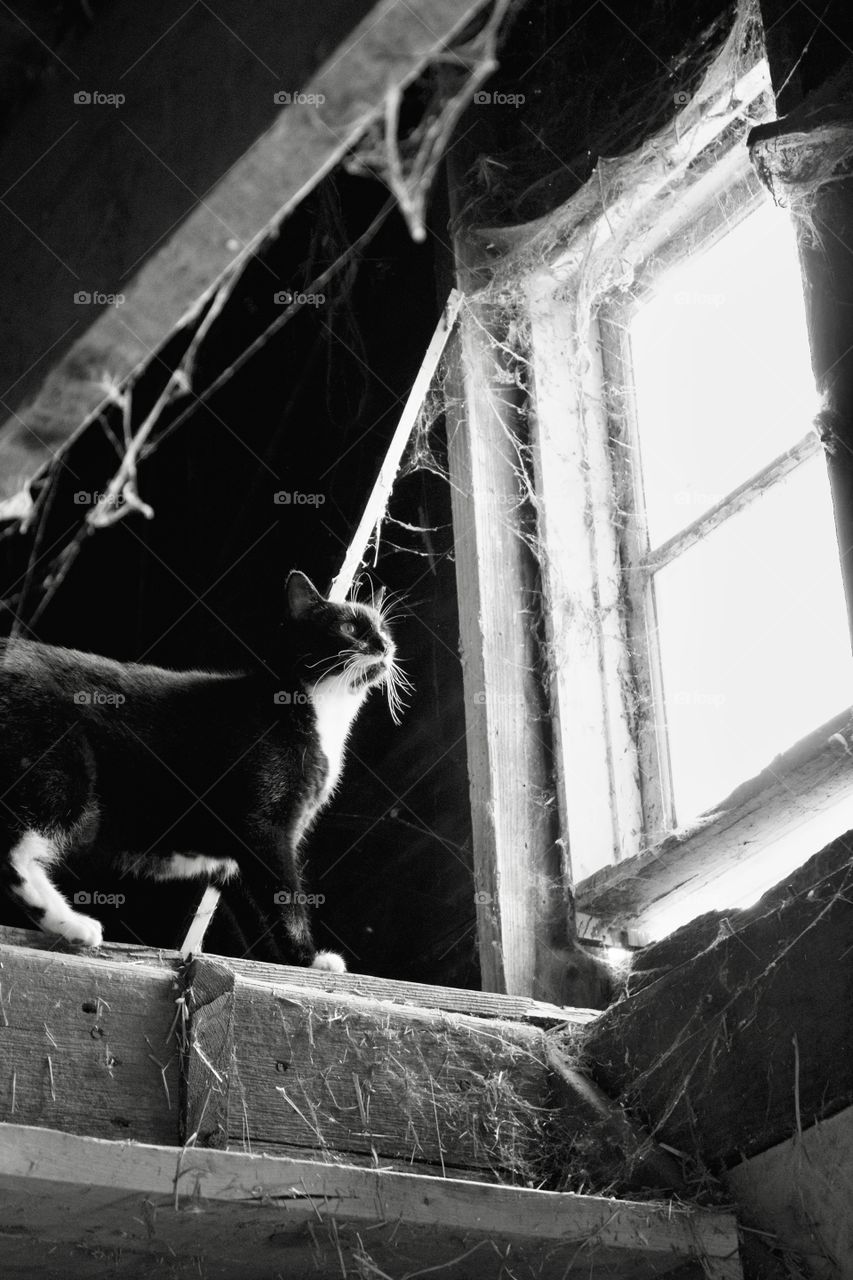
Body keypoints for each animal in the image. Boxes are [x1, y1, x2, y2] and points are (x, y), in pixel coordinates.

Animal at [0, 570, 402, 967]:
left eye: (385, 628)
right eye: (349, 628)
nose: (384, 645)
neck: (320, 710)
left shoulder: (237, 855)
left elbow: (254, 907)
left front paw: (283, 961)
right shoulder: (263, 828)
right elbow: (283, 897)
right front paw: (308, 958)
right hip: (59, 766)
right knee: (15, 848)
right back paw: (71, 923)